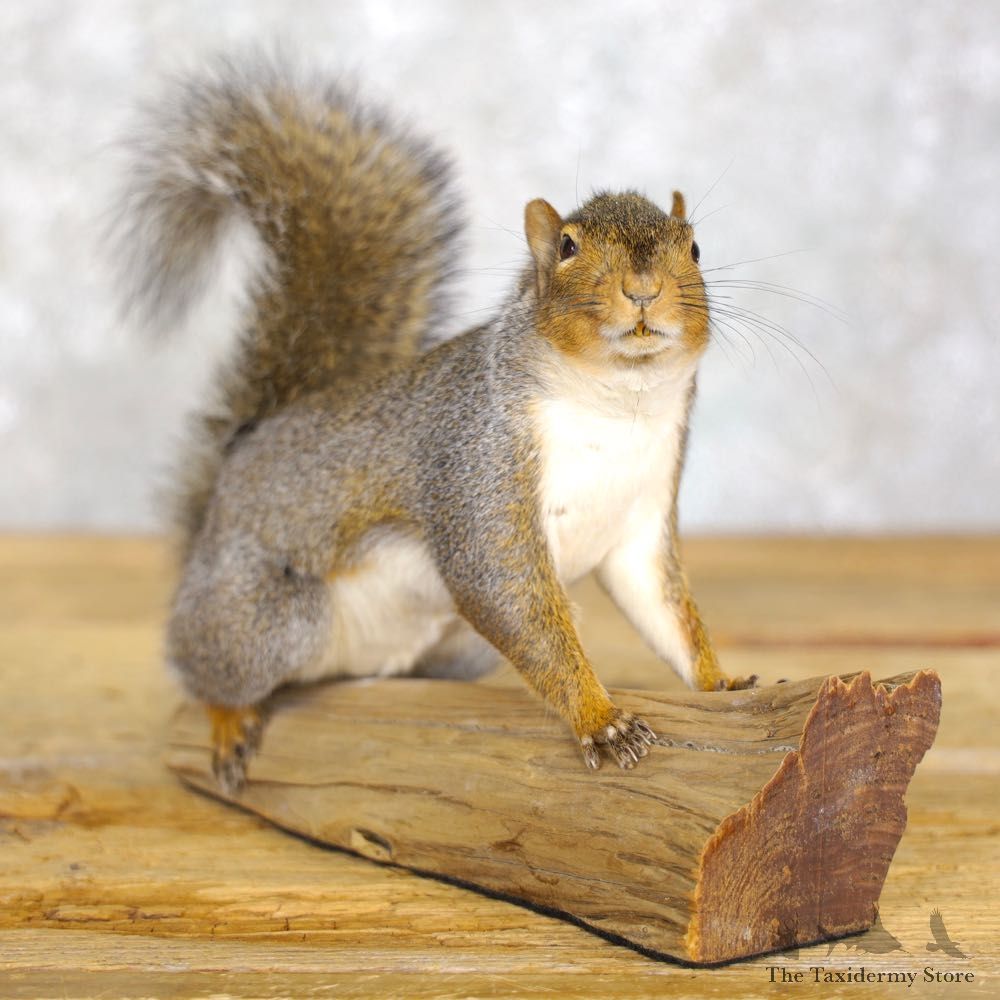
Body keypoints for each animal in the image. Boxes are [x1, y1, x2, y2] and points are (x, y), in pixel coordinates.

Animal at [119, 56, 756, 792]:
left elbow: (665, 608)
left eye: (696, 248)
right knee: (204, 669)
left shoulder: (642, 517)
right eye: (567, 246)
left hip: (449, 649)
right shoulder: (475, 460)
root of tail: (213, 513)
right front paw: (600, 719)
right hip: (266, 619)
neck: (617, 399)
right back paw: (227, 718)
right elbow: (505, 592)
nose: (645, 290)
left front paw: (721, 681)